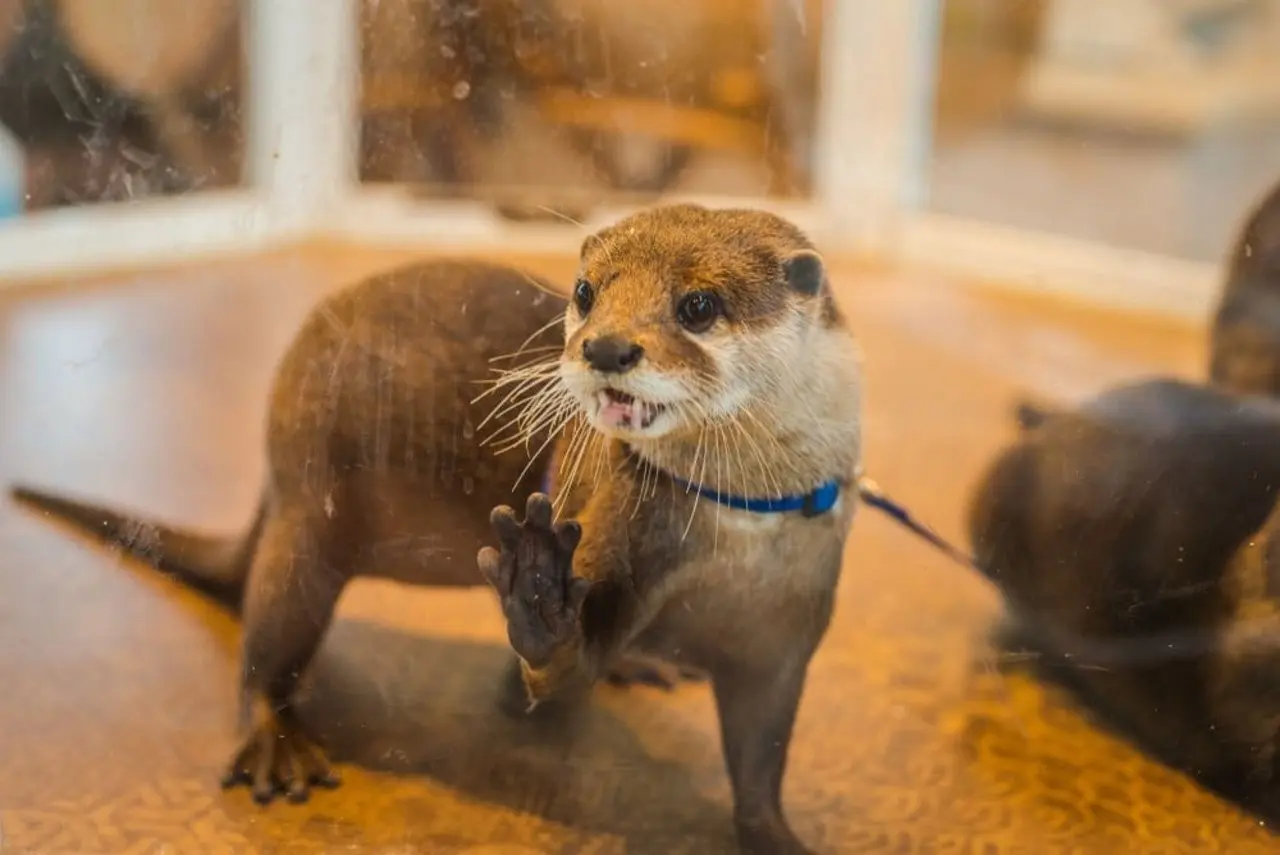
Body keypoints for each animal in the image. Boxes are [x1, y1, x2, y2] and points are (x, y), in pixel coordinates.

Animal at [471, 203, 860, 849]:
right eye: (585, 292)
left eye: (698, 305)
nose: (605, 348)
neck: (739, 552)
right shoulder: (623, 523)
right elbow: (557, 677)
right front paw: (539, 591)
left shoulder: (786, 635)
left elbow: (763, 755)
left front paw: (776, 836)